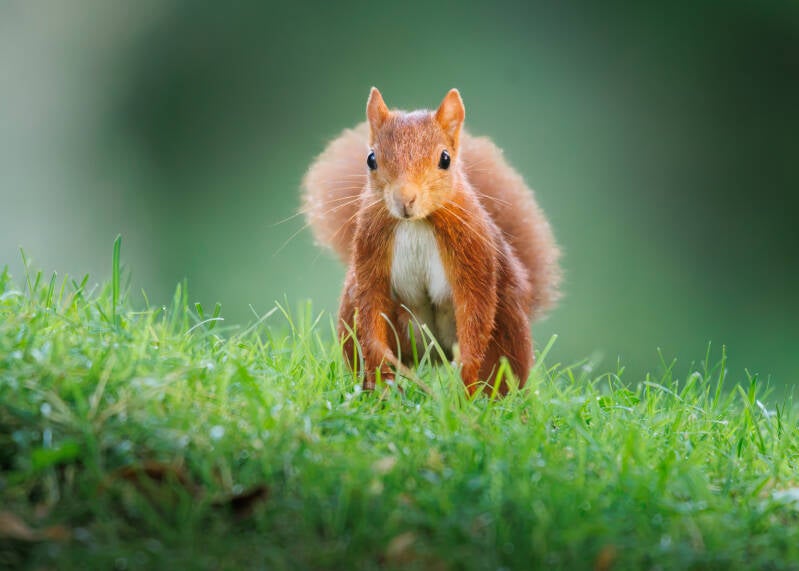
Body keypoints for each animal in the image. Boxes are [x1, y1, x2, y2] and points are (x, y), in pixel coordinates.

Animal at [302, 88, 561, 395]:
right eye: (371, 159)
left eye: (445, 159)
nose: (405, 199)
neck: (416, 223)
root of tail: (436, 355)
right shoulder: (369, 251)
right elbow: (370, 308)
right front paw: (380, 373)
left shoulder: (474, 255)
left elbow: (476, 311)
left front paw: (466, 386)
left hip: (508, 331)